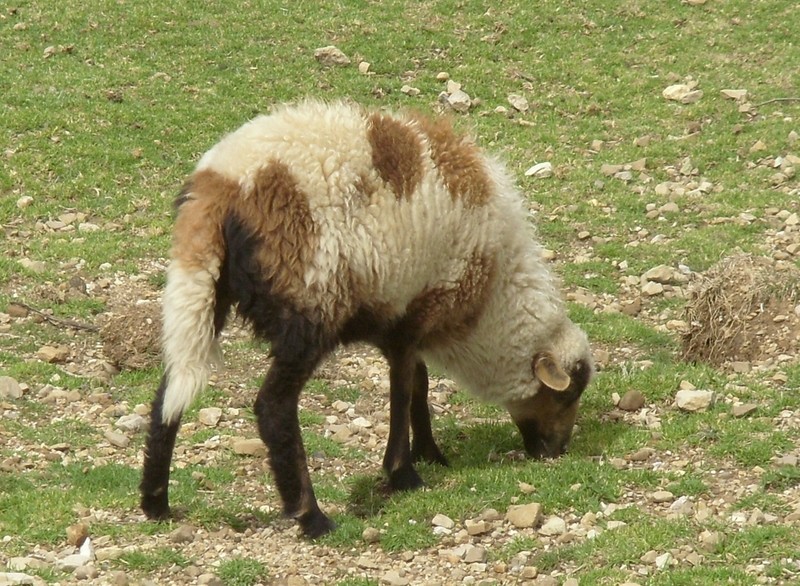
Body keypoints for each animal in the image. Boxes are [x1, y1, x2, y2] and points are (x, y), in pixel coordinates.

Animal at [140, 100, 594, 538]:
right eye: (565, 396)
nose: (556, 453)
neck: (491, 296)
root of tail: (223, 184)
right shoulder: (415, 313)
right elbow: (405, 389)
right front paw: (404, 472)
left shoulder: (396, 316)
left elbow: (418, 385)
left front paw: (429, 454)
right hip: (310, 306)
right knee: (273, 407)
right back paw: (311, 517)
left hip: (202, 293)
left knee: (170, 391)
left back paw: (155, 502)